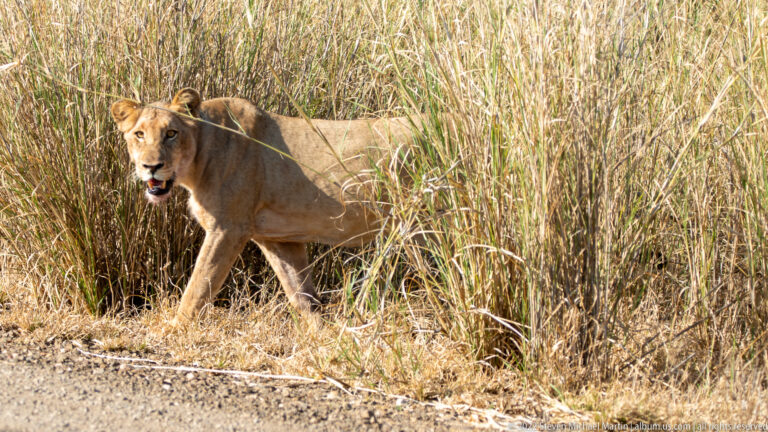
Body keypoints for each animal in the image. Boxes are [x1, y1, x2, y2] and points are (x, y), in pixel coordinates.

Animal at [110, 88, 417, 326]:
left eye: (171, 133)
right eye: (139, 134)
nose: (151, 166)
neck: (199, 159)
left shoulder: (227, 228)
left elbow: (198, 286)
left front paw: (174, 329)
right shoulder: (277, 238)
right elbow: (301, 295)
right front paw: (324, 337)